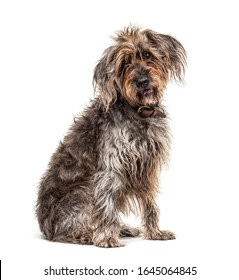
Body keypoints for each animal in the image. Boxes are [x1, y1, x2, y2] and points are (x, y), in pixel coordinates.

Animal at [36, 25, 187, 246]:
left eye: (148, 55)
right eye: (125, 63)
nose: (142, 81)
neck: (138, 112)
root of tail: (45, 228)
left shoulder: (148, 168)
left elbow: (150, 203)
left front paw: (155, 233)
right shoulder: (111, 167)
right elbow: (107, 203)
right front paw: (107, 238)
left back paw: (122, 229)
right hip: (83, 191)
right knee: (65, 233)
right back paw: (90, 235)